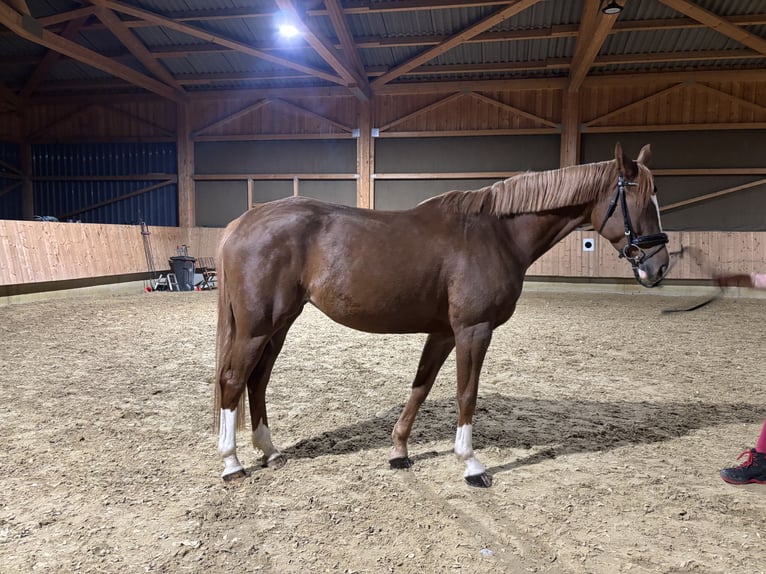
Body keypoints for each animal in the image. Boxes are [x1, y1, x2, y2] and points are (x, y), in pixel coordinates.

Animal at [213, 143, 669, 487]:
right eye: (640, 201)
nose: (659, 266)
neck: (497, 234)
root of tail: (242, 222)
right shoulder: (474, 330)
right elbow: (466, 394)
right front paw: (471, 464)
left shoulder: (445, 332)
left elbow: (422, 385)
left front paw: (399, 451)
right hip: (257, 328)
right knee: (234, 379)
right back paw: (232, 463)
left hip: (279, 325)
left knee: (258, 380)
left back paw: (270, 452)